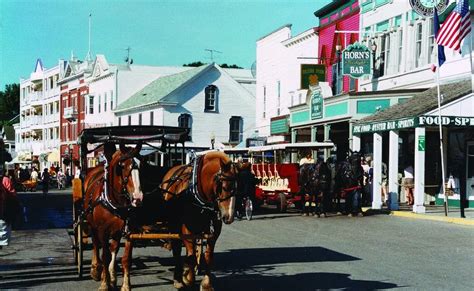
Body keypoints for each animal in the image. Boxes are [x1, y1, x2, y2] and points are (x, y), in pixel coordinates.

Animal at [83, 144, 143, 291]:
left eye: (141, 164)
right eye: (122, 166)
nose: (138, 197)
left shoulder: (129, 231)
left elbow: (126, 259)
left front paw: (125, 285)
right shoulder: (102, 231)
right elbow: (104, 256)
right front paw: (104, 283)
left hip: (116, 230)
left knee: (114, 248)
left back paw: (112, 276)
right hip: (92, 225)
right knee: (96, 245)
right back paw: (96, 270)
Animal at [160, 152, 237, 290]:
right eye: (224, 186)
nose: (229, 216)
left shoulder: (214, 231)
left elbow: (208, 256)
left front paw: (206, 284)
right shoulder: (186, 229)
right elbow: (190, 254)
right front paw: (188, 278)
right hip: (175, 225)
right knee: (177, 249)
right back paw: (178, 278)